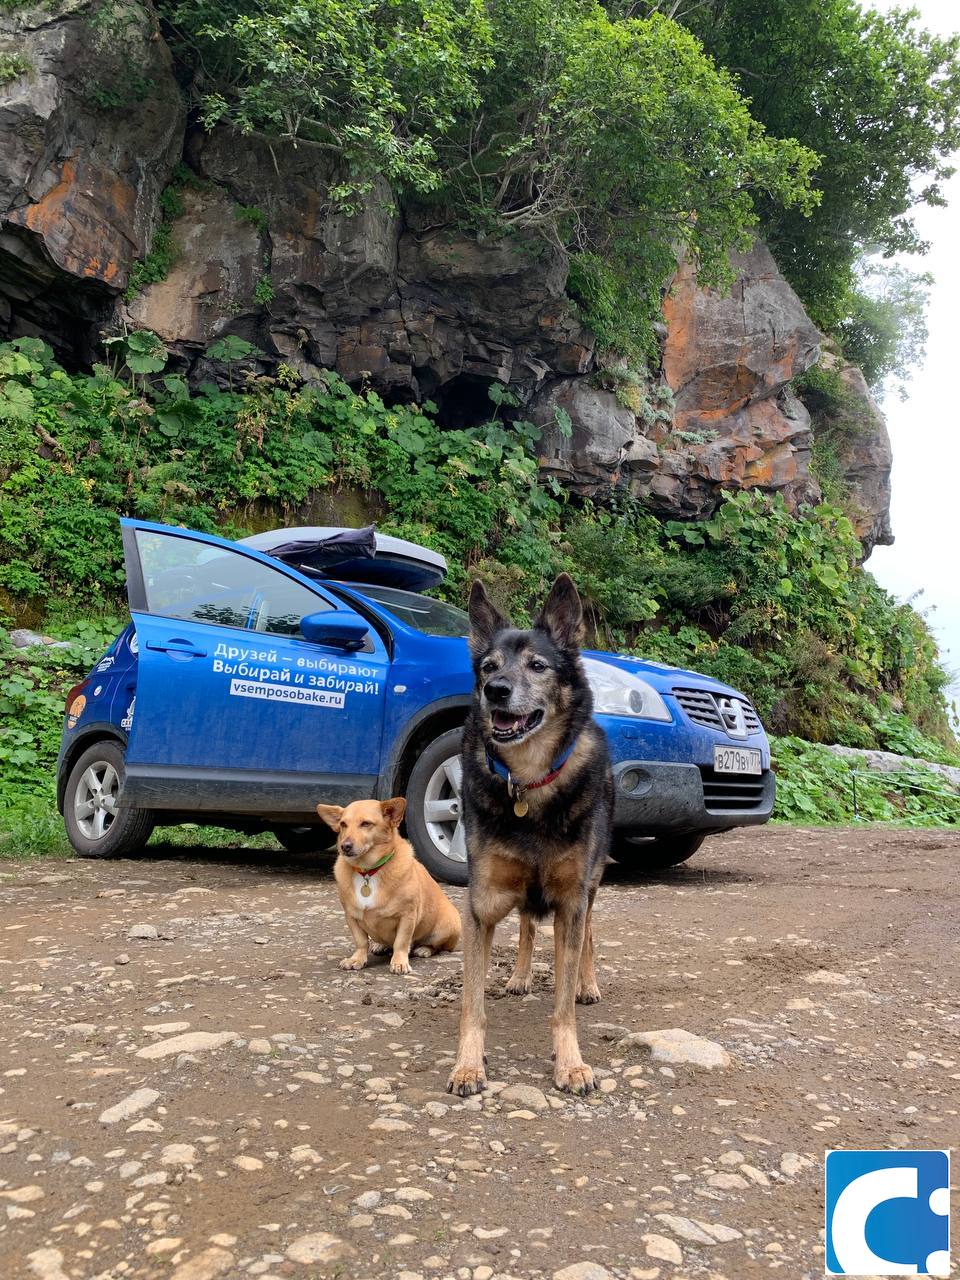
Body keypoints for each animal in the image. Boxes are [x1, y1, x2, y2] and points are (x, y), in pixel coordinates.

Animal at [317, 793, 463, 972]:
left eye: (366, 824)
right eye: (343, 824)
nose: (345, 846)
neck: (368, 871)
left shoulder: (407, 916)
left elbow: (401, 942)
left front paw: (399, 961)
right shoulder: (351, 916)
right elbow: (361, 941)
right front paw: (357, 959)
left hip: (446, 927)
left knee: (437, 946)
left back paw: (424, 949)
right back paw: (381, 945)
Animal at [448, 576, 611, 1095]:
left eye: (538, 666)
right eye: (488, 667)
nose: (495, 691)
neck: (529, 783)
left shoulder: (571, 899)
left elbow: (562, 1003)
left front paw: (571, 1063)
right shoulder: (480, 905)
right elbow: (472, 1005)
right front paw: (468, 1064)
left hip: (591, 886)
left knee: (589, 935)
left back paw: (587, 984)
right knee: (525, 925)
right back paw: (519, 977)